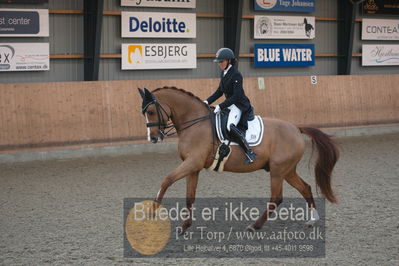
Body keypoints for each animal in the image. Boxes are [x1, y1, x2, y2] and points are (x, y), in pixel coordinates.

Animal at [138, 87, 340, 231]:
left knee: (276, 198)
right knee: (305, 188)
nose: (152, 138)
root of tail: (296, 128)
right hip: (287, 170)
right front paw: (184, 226)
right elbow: (189, 197)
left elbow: (167, 180)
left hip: (277, 171)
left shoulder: (192, 162)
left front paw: (152, 210)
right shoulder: (193, 167)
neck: (195, 123)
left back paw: (254, 226)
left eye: (151, 111)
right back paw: (312, 220)